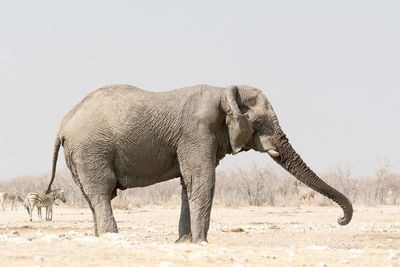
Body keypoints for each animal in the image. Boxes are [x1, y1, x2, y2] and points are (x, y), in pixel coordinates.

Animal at [46, 85, 354, 244]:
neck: (224, 92)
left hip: (81, 154)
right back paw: (112, 238)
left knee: (92, 197)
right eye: (260, 122)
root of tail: (62, 124)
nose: (340, 220)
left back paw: (100, 237)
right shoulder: (197, 131)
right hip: (91, 149)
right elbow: (202, 181)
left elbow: (189, 183)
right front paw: (202, 244)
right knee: (101, 192)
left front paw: (185, 243)